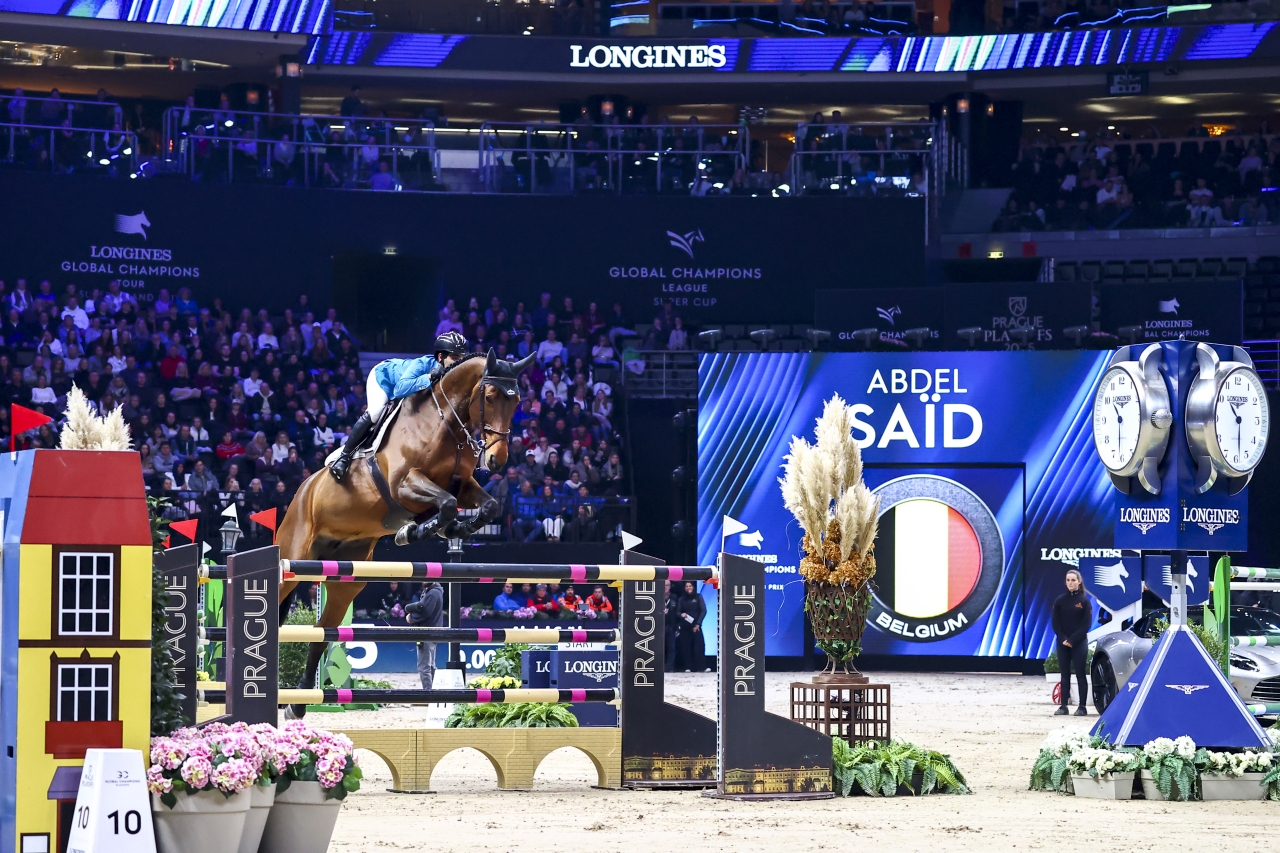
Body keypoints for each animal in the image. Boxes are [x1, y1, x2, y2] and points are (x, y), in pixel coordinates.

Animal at [276, 350, 533, 714]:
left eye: (517, 401)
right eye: (490, 396)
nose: (497, 460)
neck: (445, 424)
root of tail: (303, 491)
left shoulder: (463, 484)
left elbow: (485, 507)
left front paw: (452, 528)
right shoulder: (403, 485)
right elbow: (446, 504)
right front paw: (414, 530)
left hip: (345, 579)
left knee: (321, 633)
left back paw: (298, 704)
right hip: (293, 559)